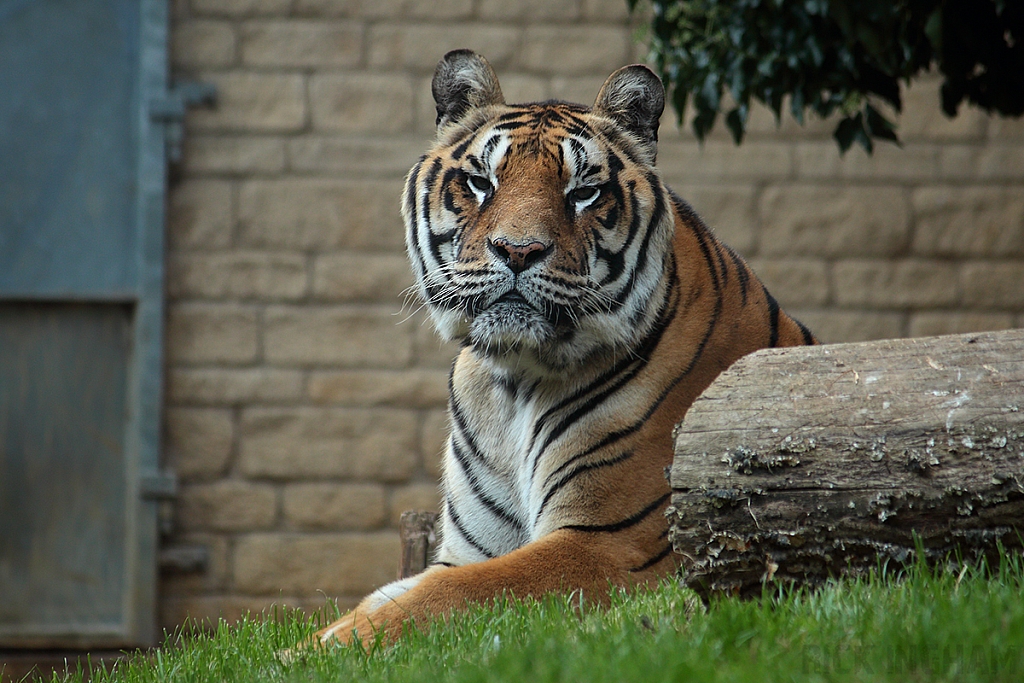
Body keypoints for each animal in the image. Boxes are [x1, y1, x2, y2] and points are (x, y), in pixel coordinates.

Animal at [311, 50, 815, 651]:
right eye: (480, 183)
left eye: (583, 192)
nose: (517, 250)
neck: (513, 381)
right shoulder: (467, 547)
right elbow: (383, 597)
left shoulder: (609, 545)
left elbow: (450, 595)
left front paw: (308, 654)